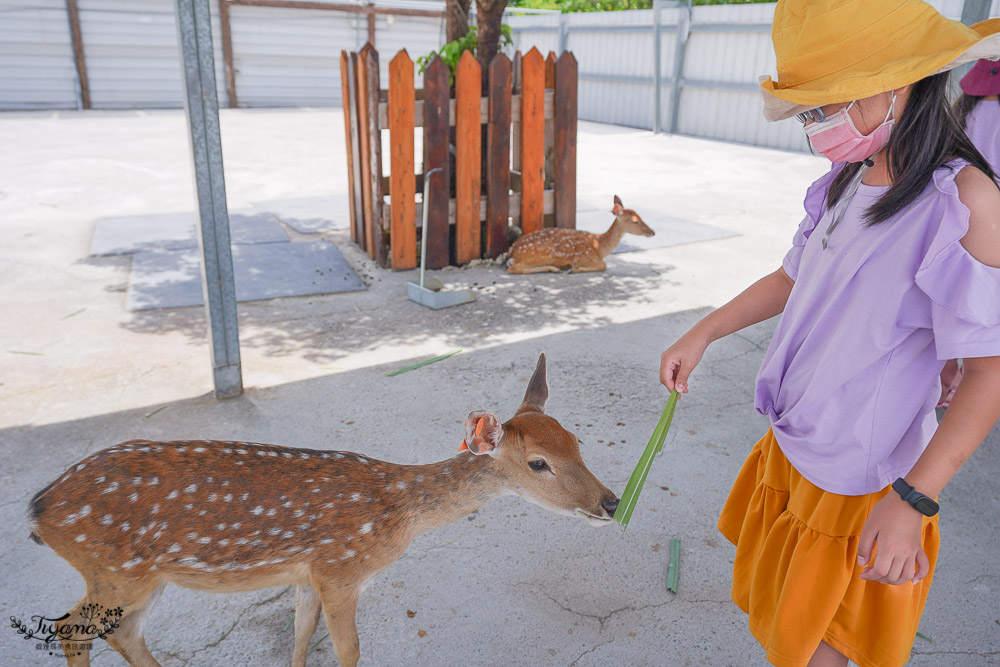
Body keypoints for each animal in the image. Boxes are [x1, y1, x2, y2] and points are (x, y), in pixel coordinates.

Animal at [29, 352, 616, 664]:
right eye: (538, 463)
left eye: (577, 440)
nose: (610, 502)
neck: (398, 513)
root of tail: (38, 509)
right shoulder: (341, 570)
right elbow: (348, 650)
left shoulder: (307, 574)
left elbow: (301, 636)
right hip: (117, 571)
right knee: (71, 627)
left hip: (138, 578)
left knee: (118, 631)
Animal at [508, 196, 656, 274]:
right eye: (635, 221)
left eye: (640, 216)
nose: (653, 232)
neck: (599, 247)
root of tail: (512, 250)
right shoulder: (584, 257)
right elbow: (604, 265)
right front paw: (575, 268)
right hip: (544, 253)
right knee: (514, 268)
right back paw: (555, 268)